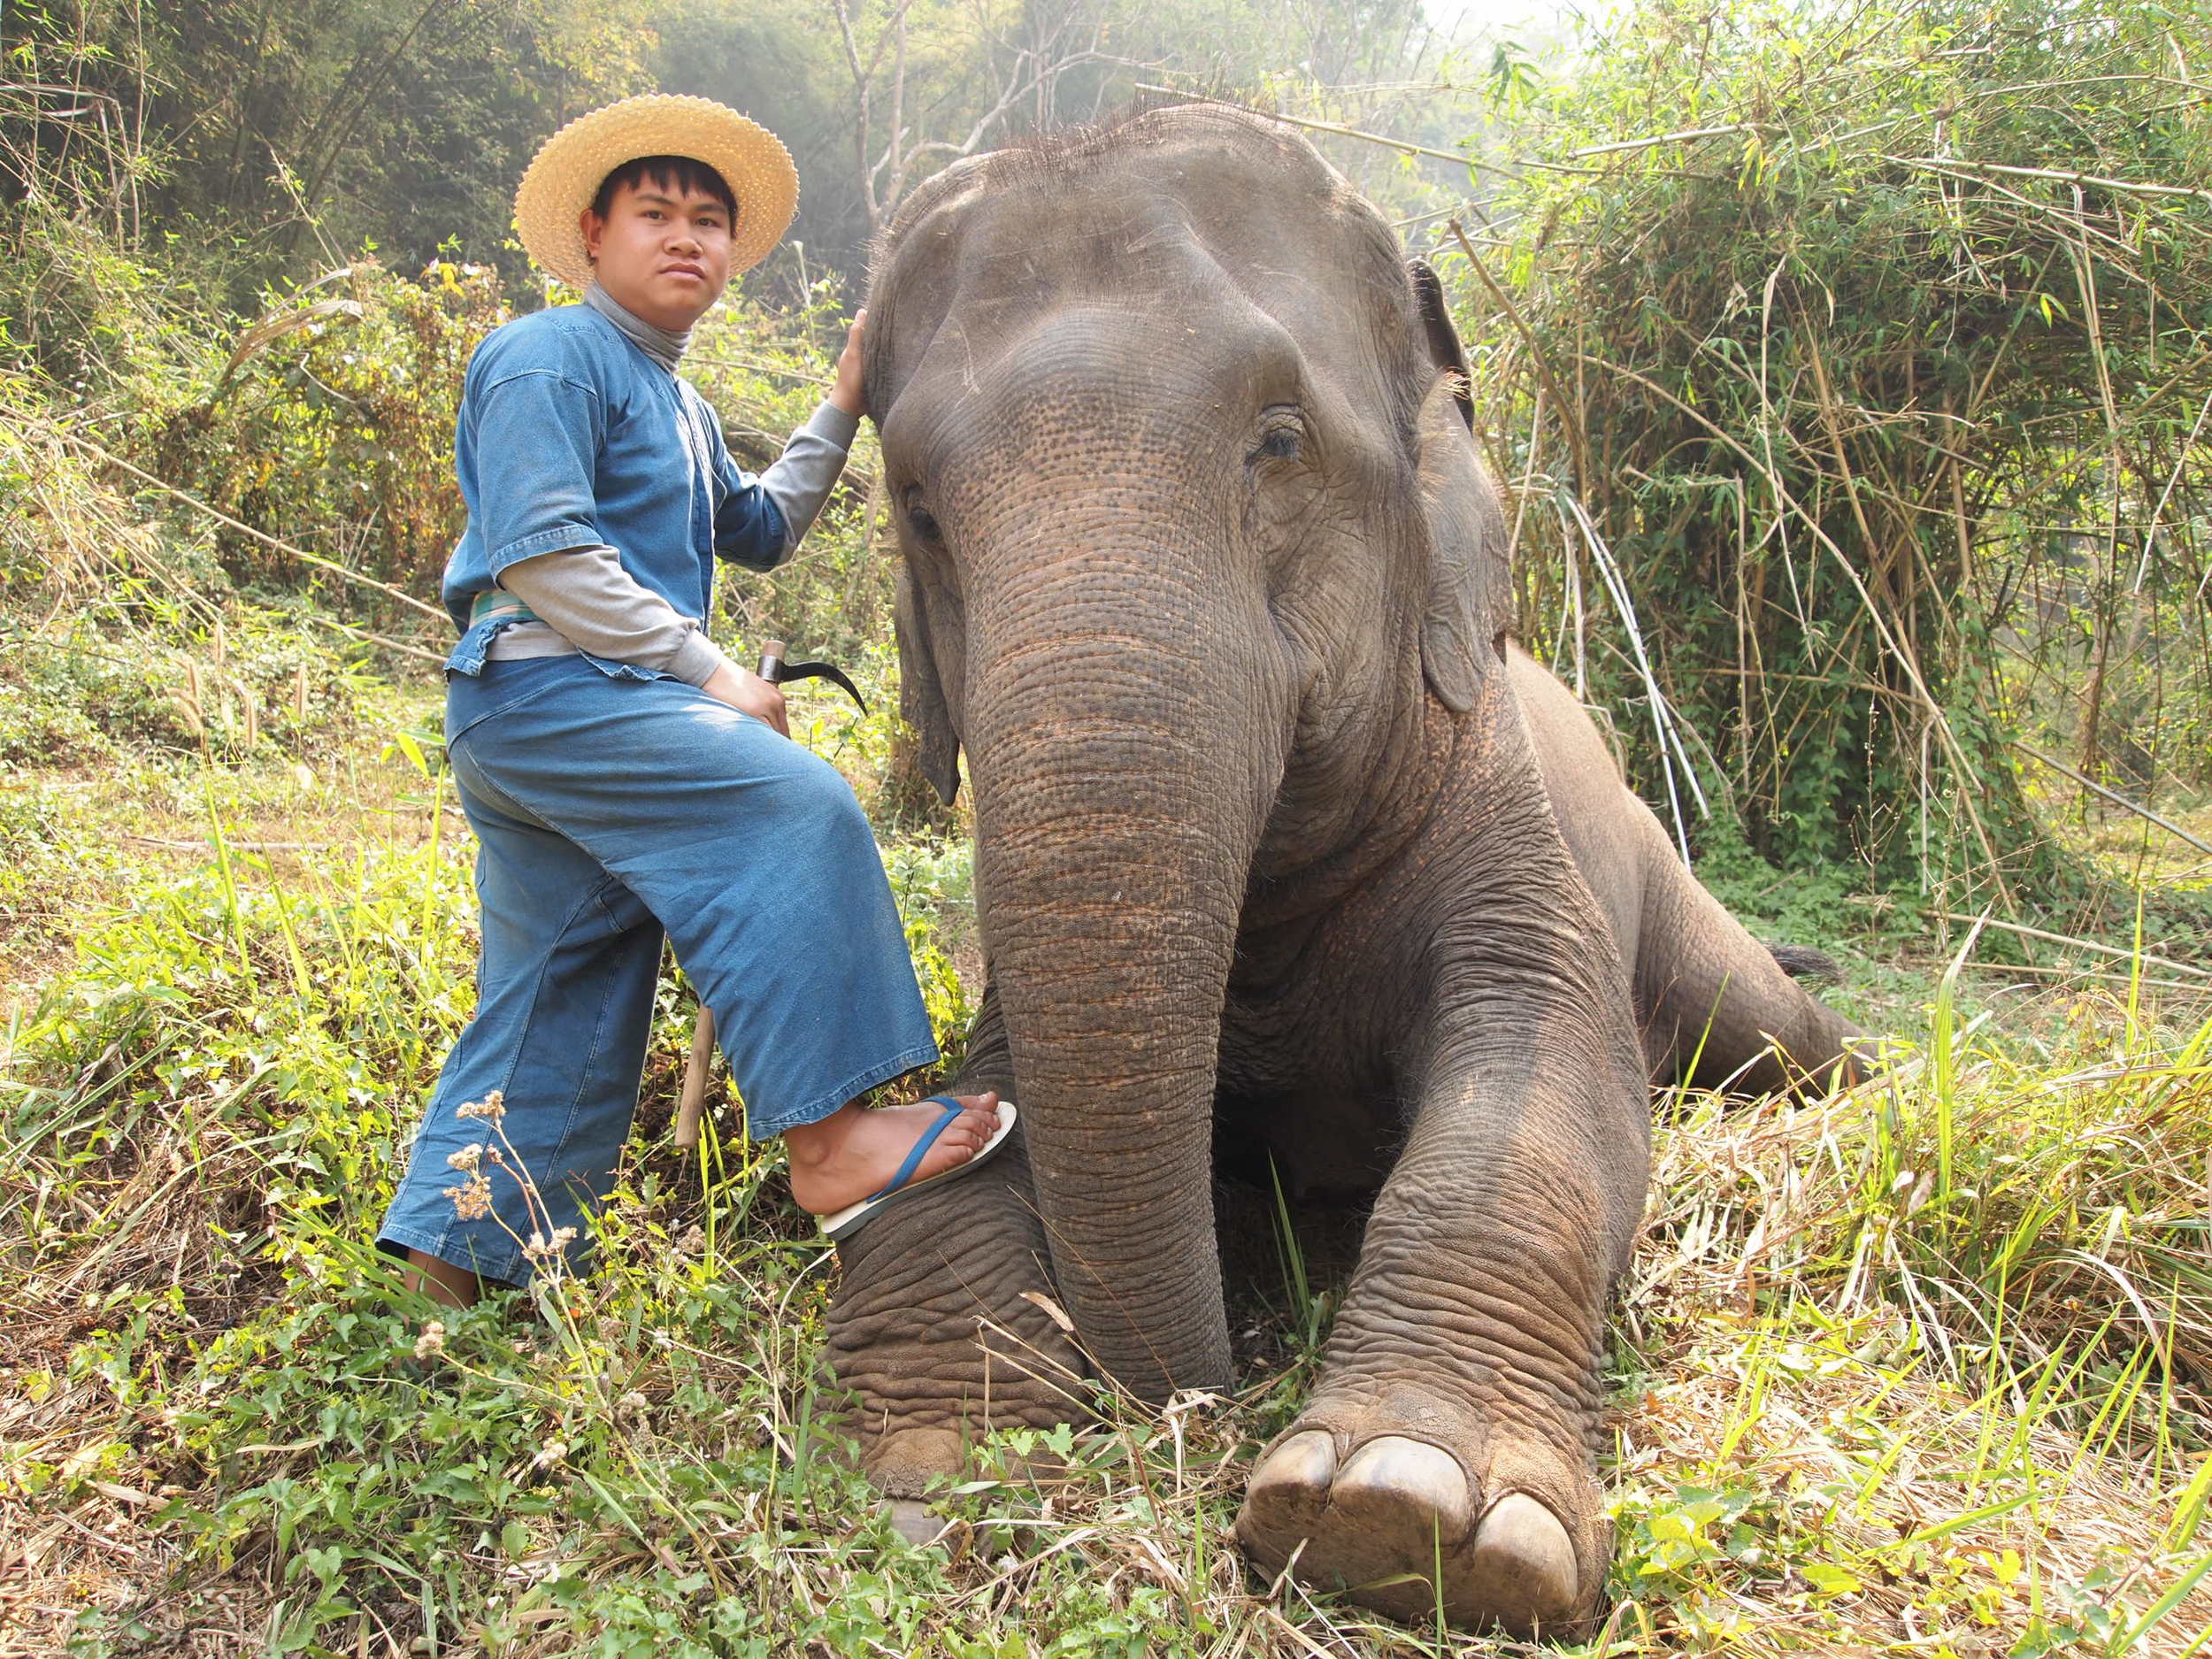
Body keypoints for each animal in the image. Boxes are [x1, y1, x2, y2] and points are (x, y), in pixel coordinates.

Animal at [823, 107, 1858, 1655]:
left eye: (1278, 440)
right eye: (920, 509)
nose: (1192, 1393)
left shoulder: (1509, 839)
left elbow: (1550, 1091)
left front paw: (1408, 1512)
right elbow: (983, 1107)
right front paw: (942, 1461)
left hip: (1663, 872)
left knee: (1778, 1039)